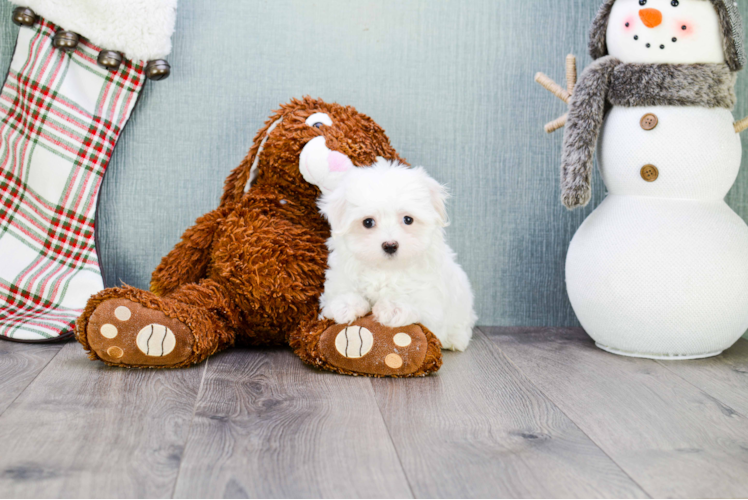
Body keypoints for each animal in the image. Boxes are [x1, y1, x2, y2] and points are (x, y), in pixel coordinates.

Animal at [318, 158, 476, 350]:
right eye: (368, 222)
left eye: (408, 219)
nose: (390, 245)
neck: (386, 269)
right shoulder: (341, 277)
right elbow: (342, 292)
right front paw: (345, 305)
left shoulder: (432, 303)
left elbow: (417, 304)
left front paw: (393, 308)